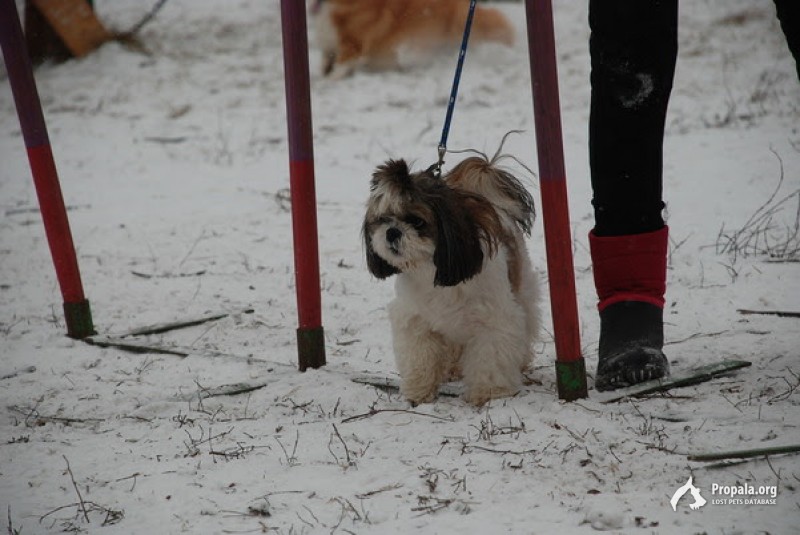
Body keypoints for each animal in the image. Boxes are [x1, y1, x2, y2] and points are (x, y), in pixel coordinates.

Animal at [364, 152, 540, 406]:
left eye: (417, 221)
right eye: (382, 219)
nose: (392, 232)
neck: (434, 270)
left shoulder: (494, 321)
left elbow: (491, 359)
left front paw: (489, 393)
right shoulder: (415, 321)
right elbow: (420, 357)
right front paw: (418, 391)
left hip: (522, 290)